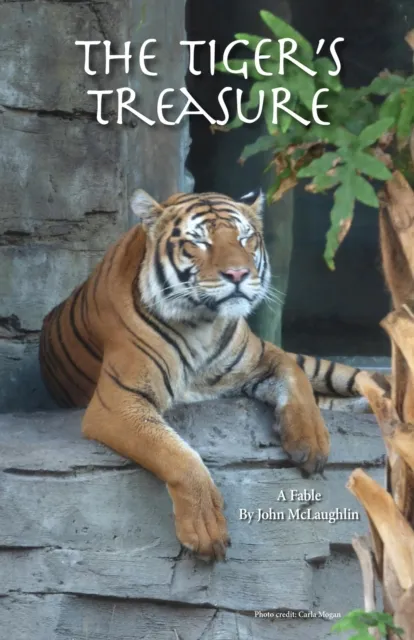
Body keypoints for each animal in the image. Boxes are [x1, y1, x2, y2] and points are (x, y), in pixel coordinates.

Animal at [39, 188, 378, 561]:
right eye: (198, 242)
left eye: (244, 238)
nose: (238, 274)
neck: (203, 324)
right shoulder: (118, 401)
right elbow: (178, 454)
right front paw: (205, 530)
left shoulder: (265, 354)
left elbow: (297, 381)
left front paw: (312, 443)